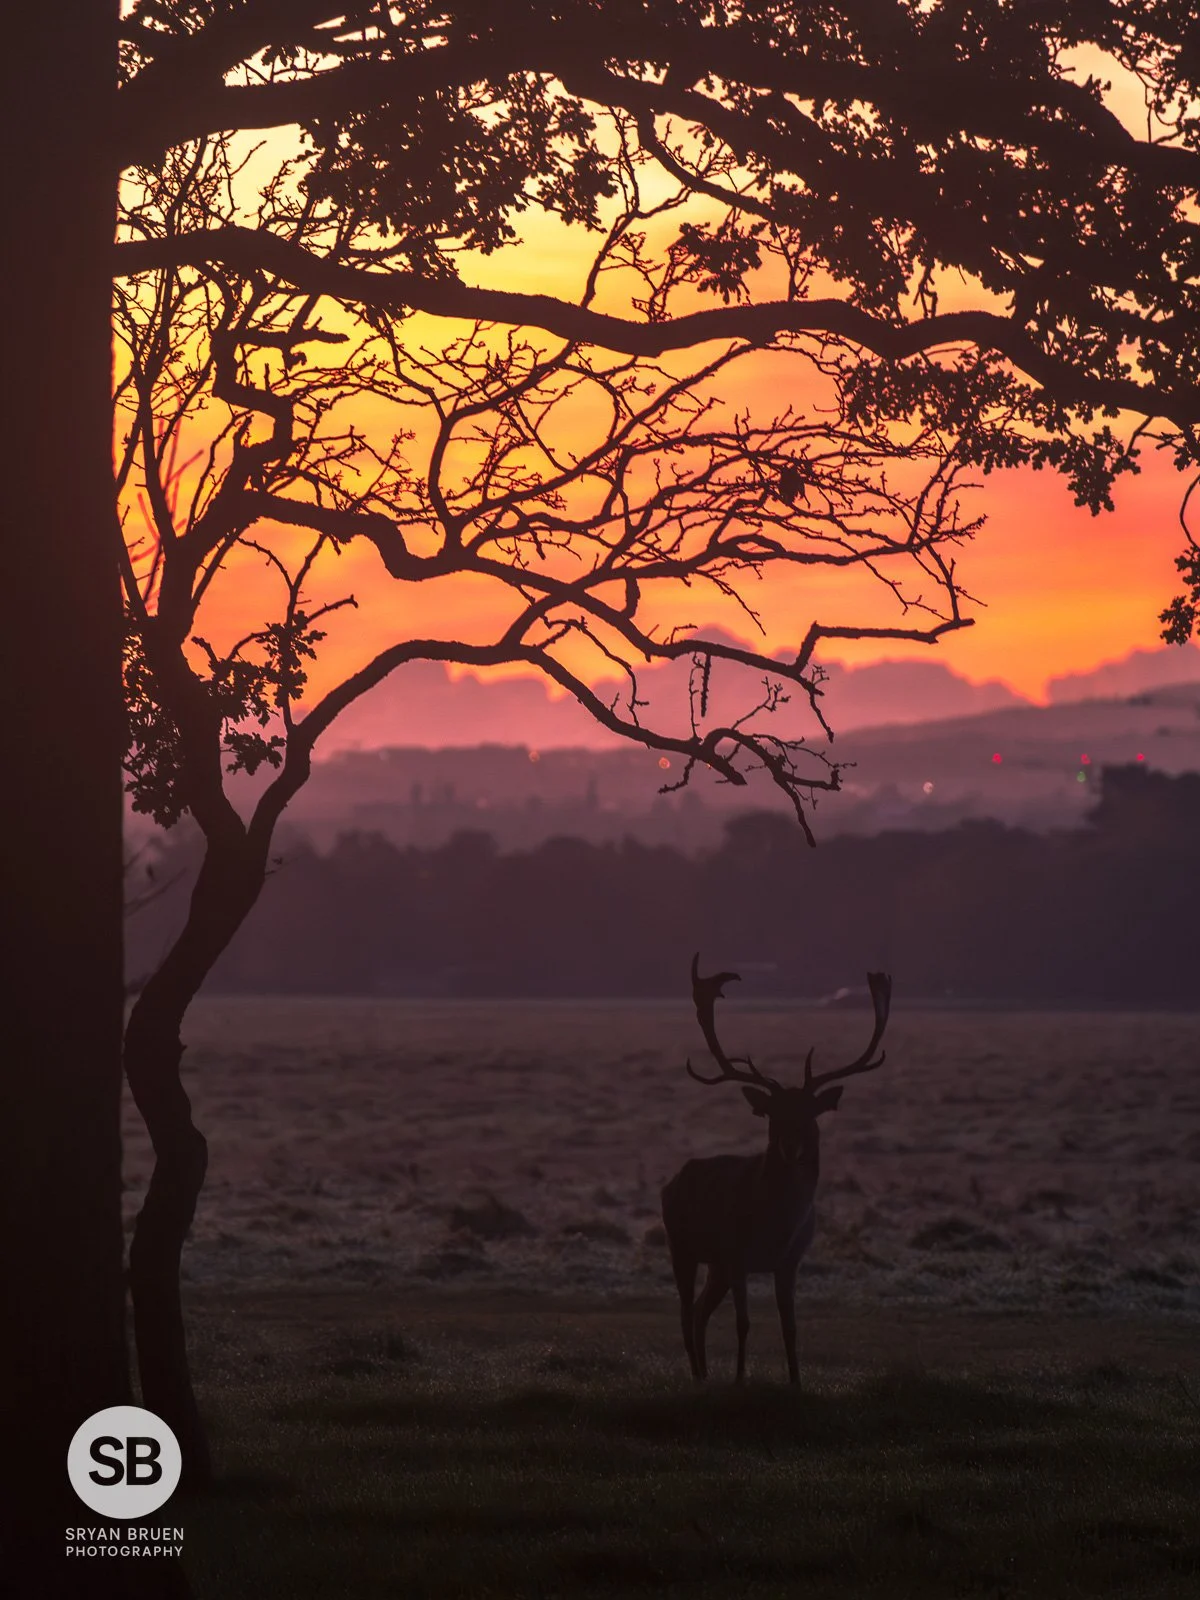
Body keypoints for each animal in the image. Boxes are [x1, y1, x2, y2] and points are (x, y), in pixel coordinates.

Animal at [661, 955, 892, 1384]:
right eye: (773, 1115)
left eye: (809, 1114)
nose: (790, 1147)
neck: (775, 1226)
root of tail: (671, 1181)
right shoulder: (737, 1257)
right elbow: (743, 1323)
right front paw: (739, 1381)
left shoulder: (789, 1263)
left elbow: (791, 1326)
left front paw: (797, 1383)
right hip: (680, 1244)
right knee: (685, 1312)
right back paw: (698, 1377)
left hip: (714, 1265)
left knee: (700, 1310)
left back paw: (706, 1374)